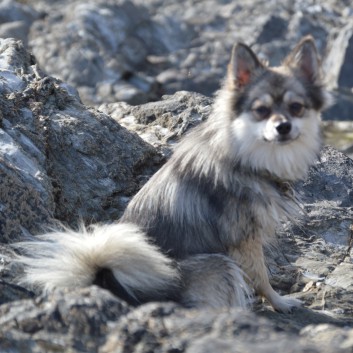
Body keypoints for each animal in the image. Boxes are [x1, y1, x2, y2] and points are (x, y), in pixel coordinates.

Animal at [15, 35, 330, 310]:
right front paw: (279, 302)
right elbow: (261, 277)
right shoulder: (243, 239)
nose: (283, 127)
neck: (247, 156)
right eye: (261, 110)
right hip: (218, 263)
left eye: (296, 107)